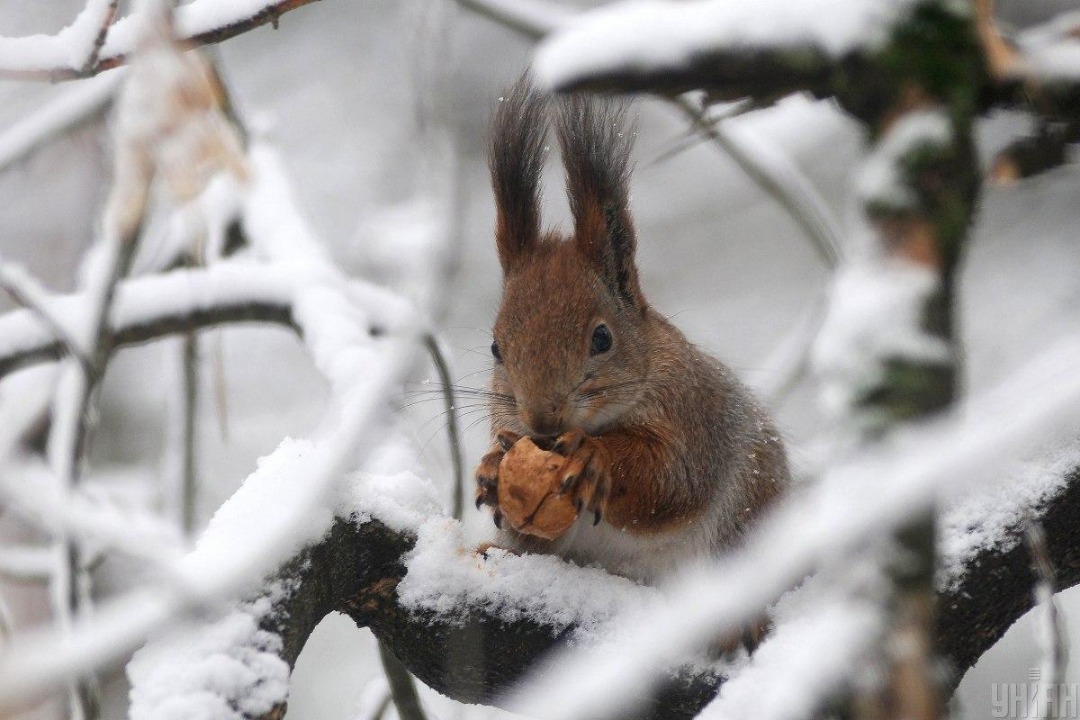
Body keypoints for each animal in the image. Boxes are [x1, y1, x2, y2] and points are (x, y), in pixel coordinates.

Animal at [475, 76, 794, 587]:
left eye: (602, 339)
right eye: (495, 348)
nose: (542, 422)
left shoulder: (693, 417)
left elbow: (671, 483)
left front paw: (593, 457)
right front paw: (491, 468)